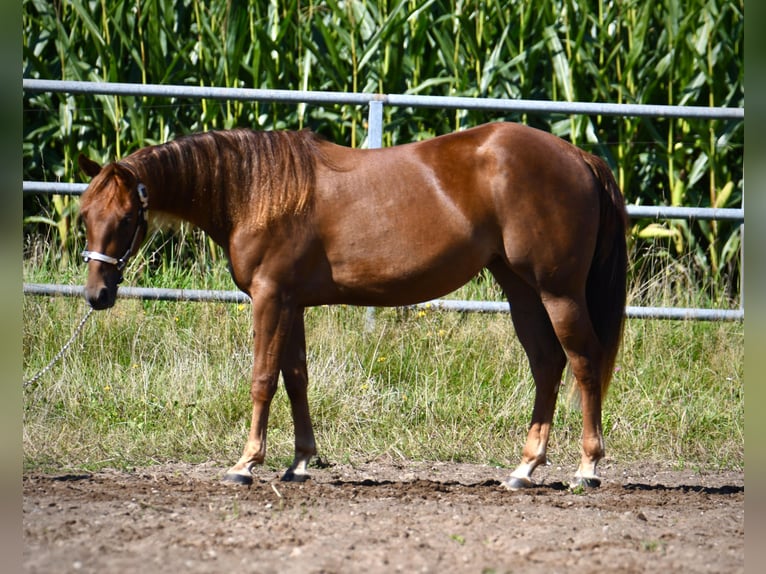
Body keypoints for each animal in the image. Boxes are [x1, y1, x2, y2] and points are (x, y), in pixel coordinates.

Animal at [78, 121, 628, 490]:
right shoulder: (291, 303)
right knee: (547, 363)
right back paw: (524, 468)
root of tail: (578, 155)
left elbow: (262, 378)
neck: (255, 192)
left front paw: (245, 464)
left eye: (126, 218)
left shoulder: (270, 298)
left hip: (557, 291)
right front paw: (300, 462)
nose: (96, 295)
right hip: (520, 287)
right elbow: (295, 377)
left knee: (583, 362)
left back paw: (587, 468)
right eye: (85, 215)